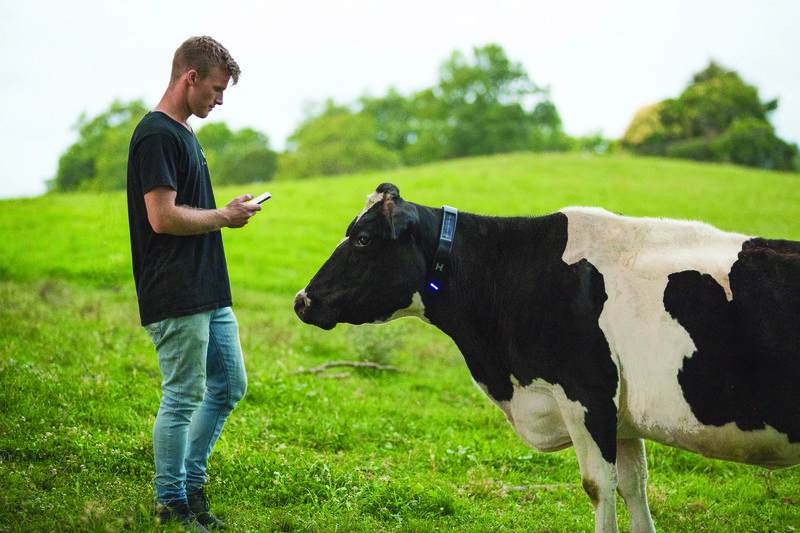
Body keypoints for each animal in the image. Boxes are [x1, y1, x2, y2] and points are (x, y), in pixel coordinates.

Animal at [294, 184, 800, 532]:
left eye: (362, 239)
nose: (302, 300)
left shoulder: (585, 394)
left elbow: (599, 487)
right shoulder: (621, 415)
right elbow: (633, 486)